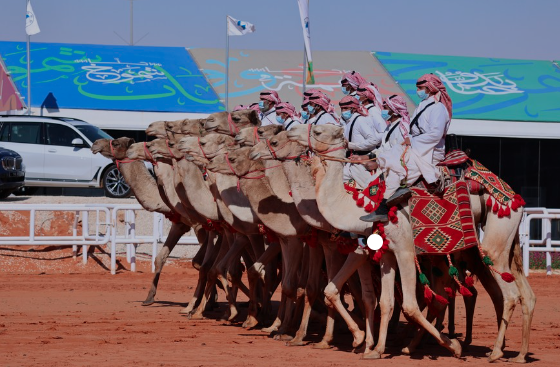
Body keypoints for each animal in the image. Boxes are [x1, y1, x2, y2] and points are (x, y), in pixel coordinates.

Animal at [286, 124, 536, 362]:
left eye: (318, 130)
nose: (289, 132)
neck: (358, 207)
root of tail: (514, 196)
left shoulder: (403, 251)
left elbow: (409, 305)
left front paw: (453, 346)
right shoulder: (385, 253)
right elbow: (385, 302)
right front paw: (375, 350)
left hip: (494, 234)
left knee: (507, 295)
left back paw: (494, 352)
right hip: (505, 244)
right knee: (524, 295)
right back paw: (519, 355)